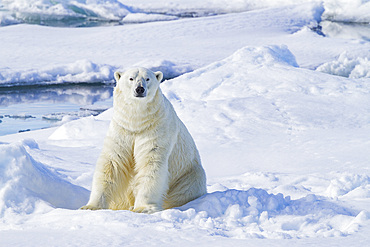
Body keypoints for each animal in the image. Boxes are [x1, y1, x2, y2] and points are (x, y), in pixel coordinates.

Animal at [80, 67, 207, 212]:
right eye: (131, 78)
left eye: (147, 78)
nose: (140, 89)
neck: (137, 122)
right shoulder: (121, 130)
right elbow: (112, 163)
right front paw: (90, 206)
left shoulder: (156, 130)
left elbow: (150, 163)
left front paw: (143, 208)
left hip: (188, 175)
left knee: (184, 190)